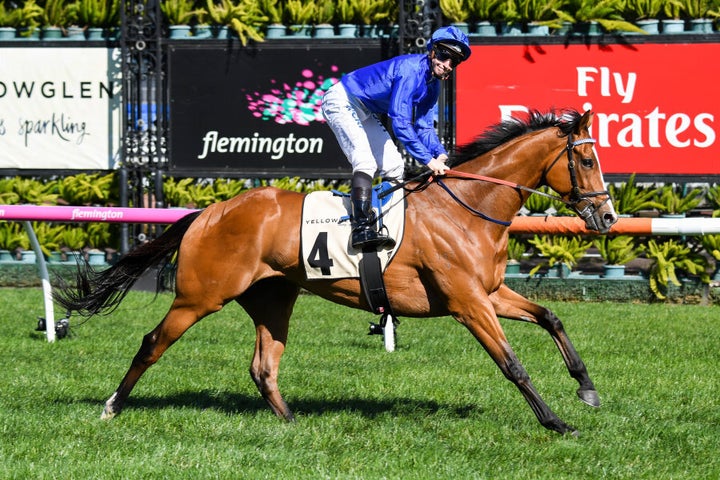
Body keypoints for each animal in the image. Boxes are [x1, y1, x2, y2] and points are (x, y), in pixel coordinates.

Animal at [54, 108, 620, 436]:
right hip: (200, 296)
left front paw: (587, 388)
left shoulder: (491, 292)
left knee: (263, 366)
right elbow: (512, 363)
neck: (468, 207)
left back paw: (292, 421)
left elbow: (550, 318)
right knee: (152, 343)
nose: (608, 217)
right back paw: (111, 407)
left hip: (273, 298)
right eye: (587, 160)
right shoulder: (467, 302)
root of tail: (209, 212)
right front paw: (555, 421)